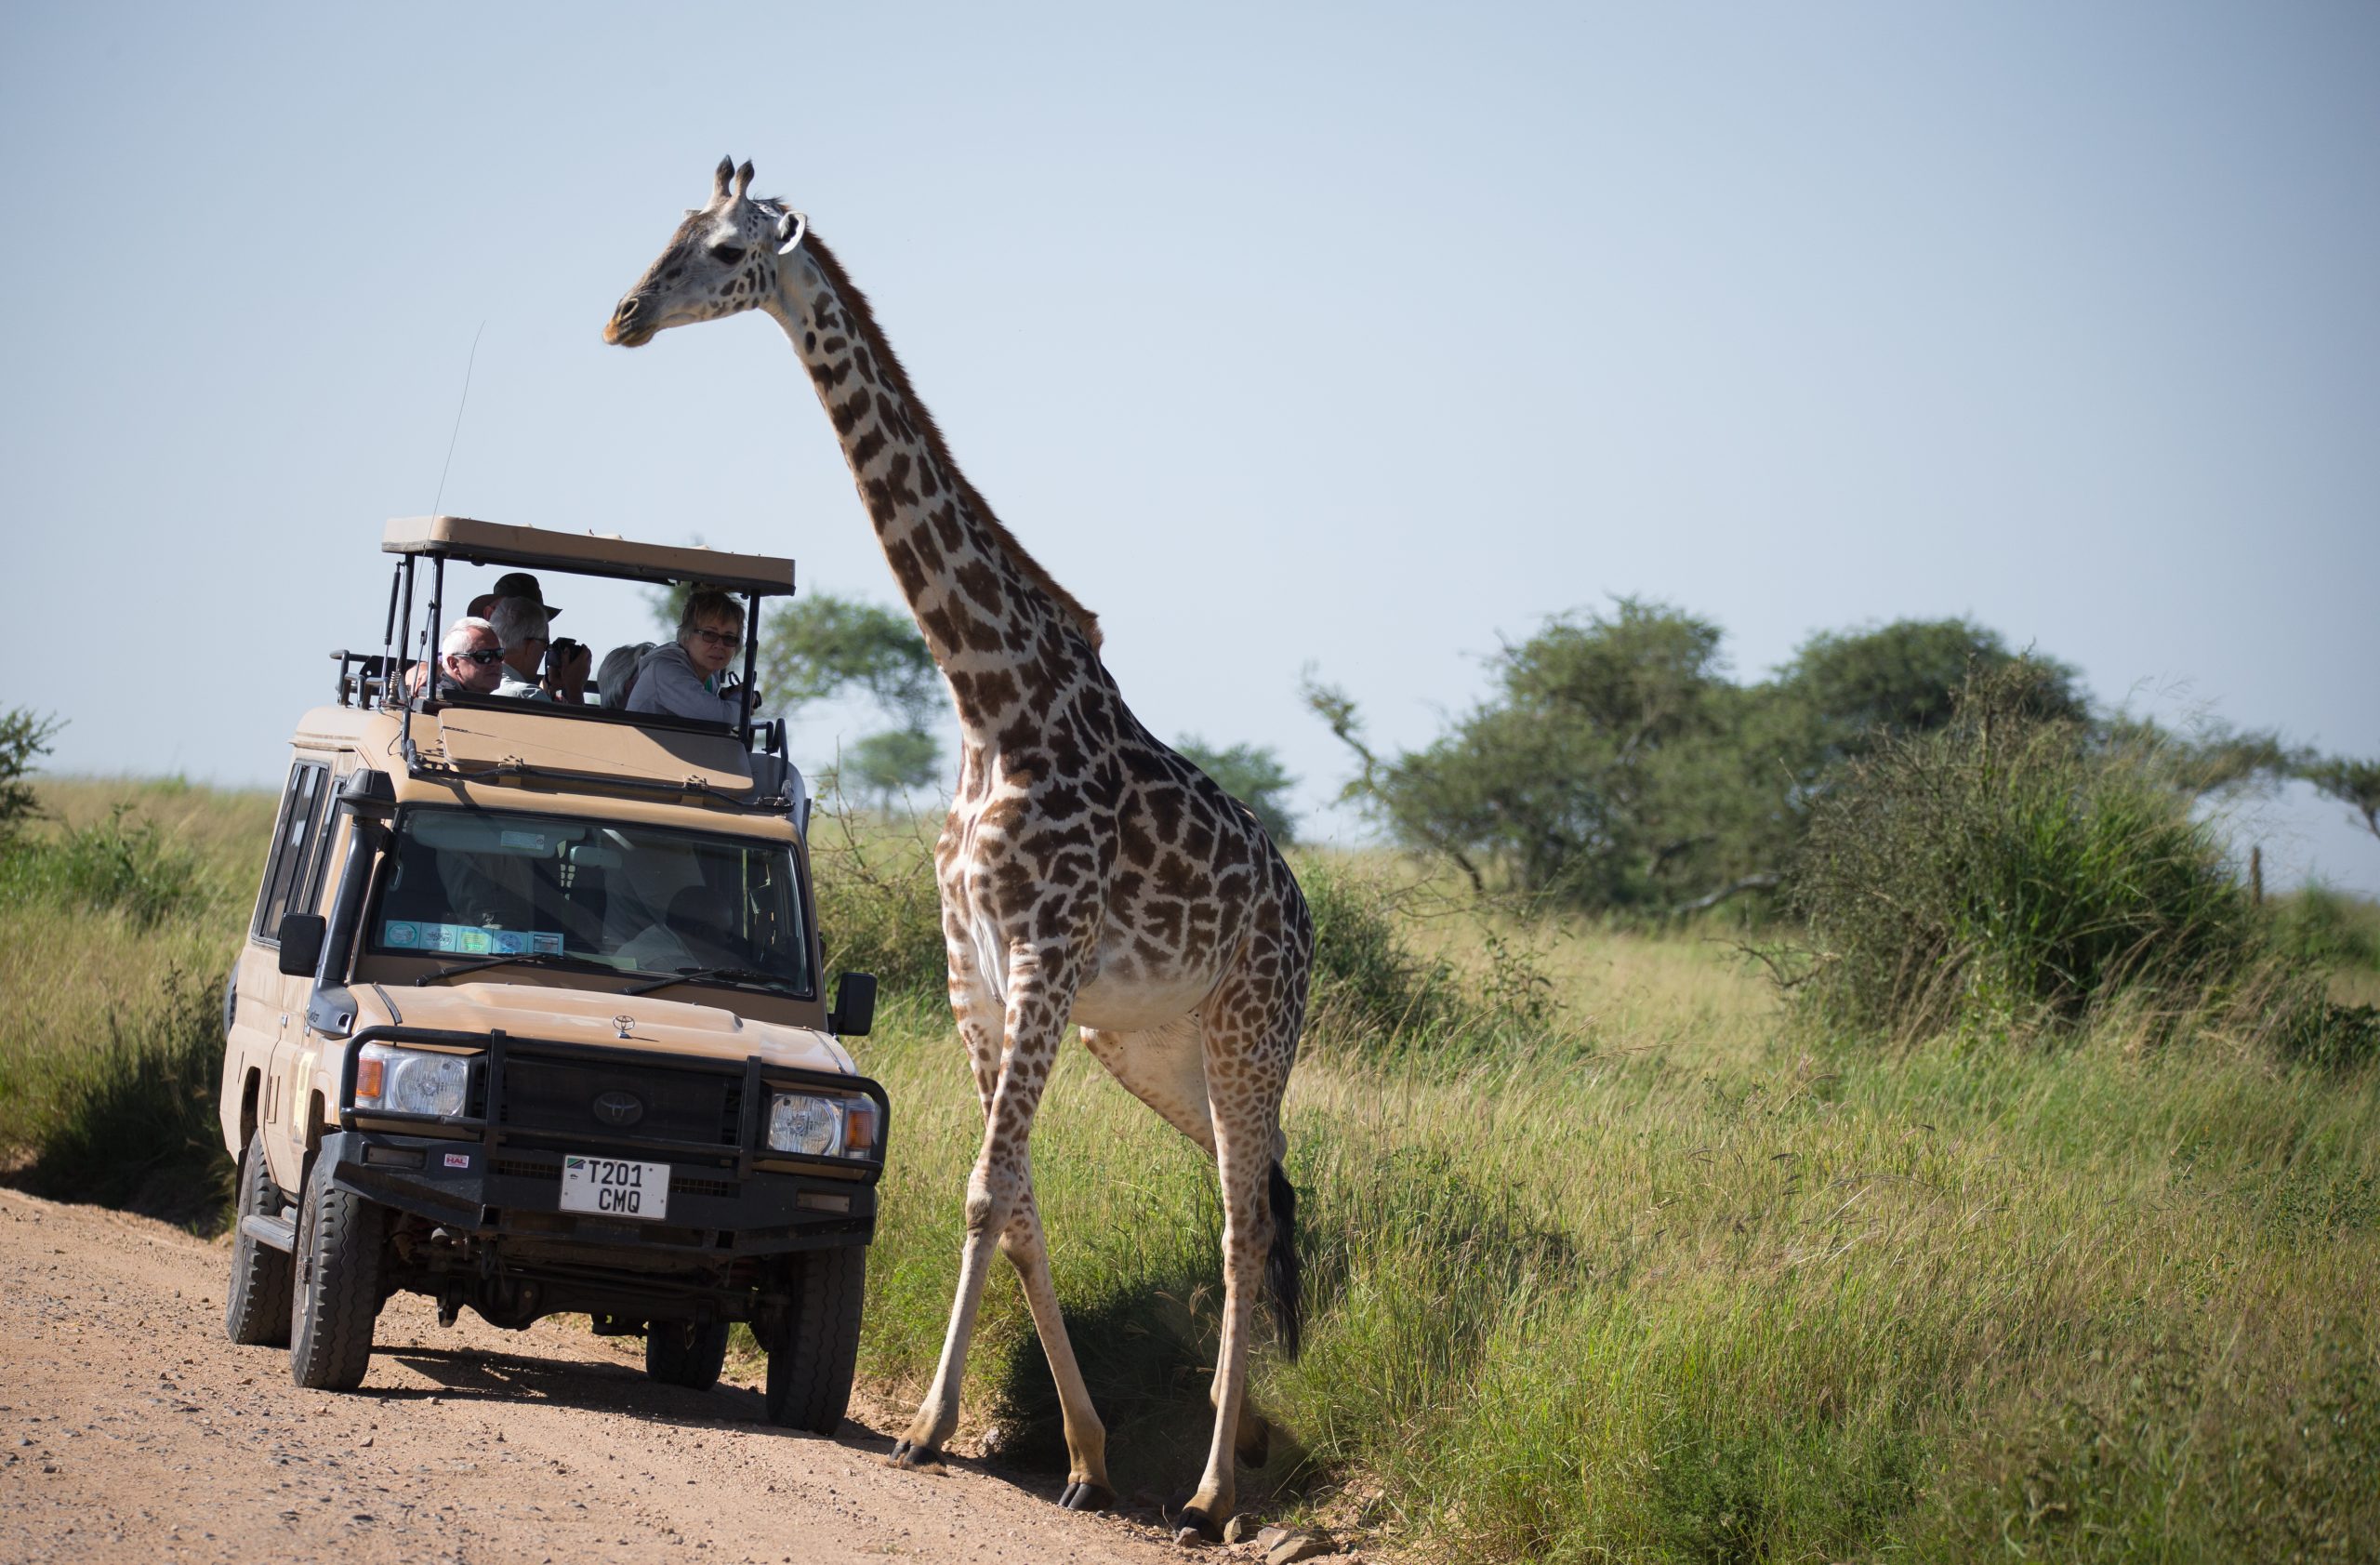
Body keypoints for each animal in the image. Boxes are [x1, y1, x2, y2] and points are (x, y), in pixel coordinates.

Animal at [606, 158, 1312, 1544]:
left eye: (722, 250)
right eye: (666, 232)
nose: (623, 317)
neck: (993, 700)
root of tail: (1306, 922)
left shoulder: (1044, 951)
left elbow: (989, 1189)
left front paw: (927, 1428)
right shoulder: (969, 967)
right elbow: (1020, 1198)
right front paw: (1084, 1452)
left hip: (1250, 1026)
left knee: (1243, 1223)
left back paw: (1211, 1491)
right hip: (1156, 1048)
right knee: (1268, 1191)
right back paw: (1241, 1435)